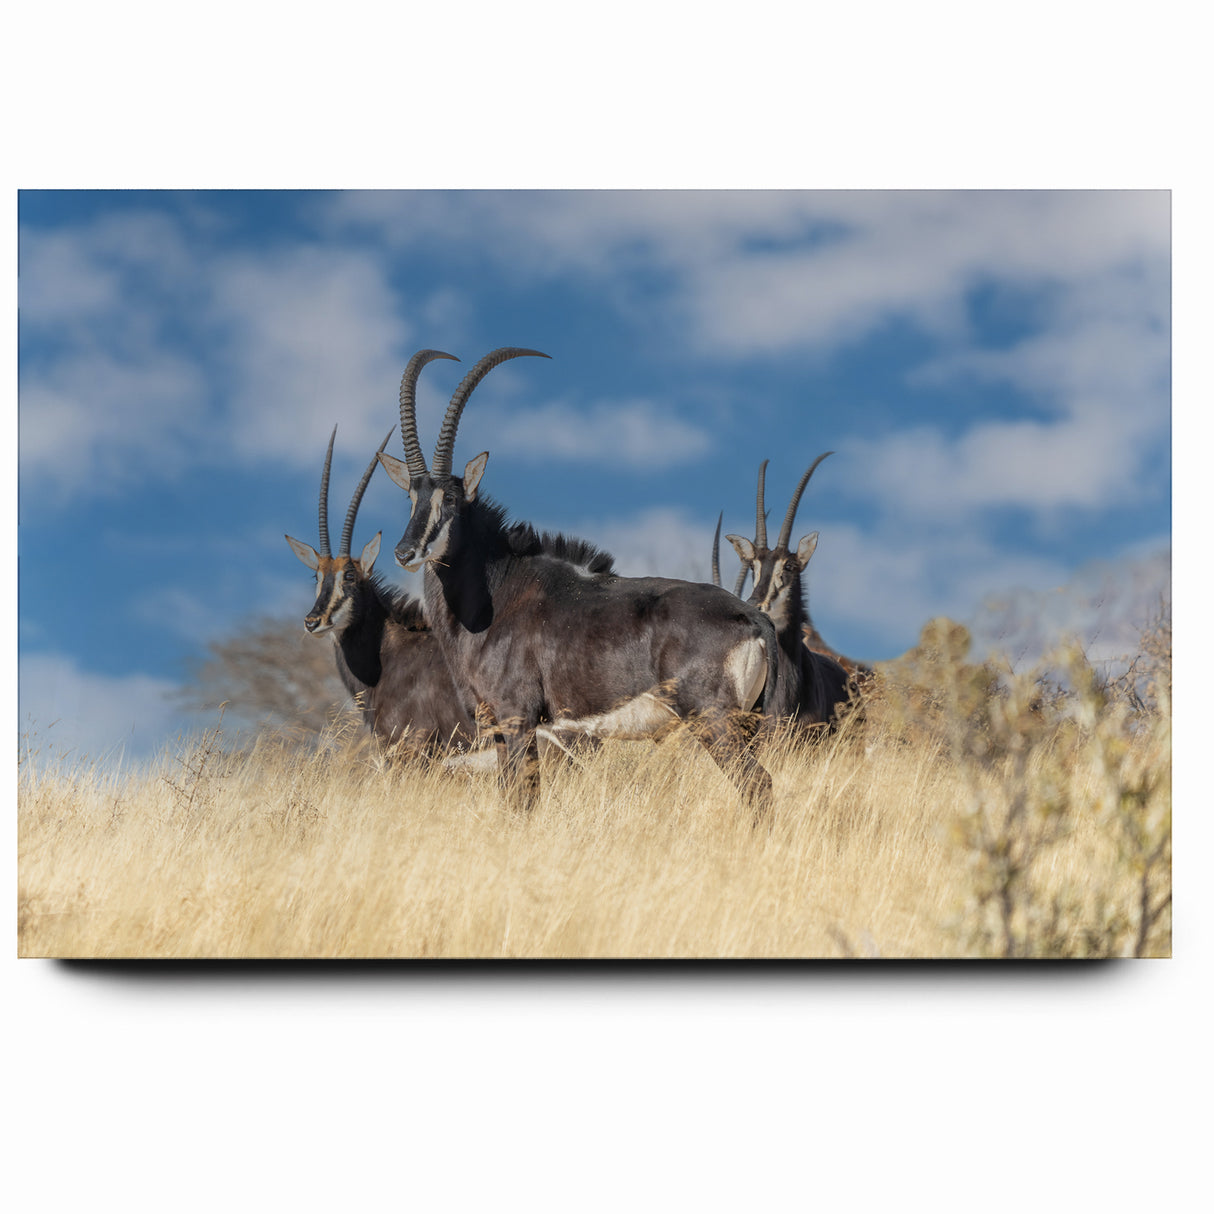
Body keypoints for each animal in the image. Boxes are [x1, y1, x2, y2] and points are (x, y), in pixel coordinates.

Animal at [377, 347, 781, 819]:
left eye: (453, 500)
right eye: (411, 497)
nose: (405, 552)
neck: (497, 593)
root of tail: (751, 617)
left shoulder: (518, 717)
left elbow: (524, 799)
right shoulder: (498, 727)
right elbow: (509, 796)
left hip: (713, 718)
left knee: (757, 784)